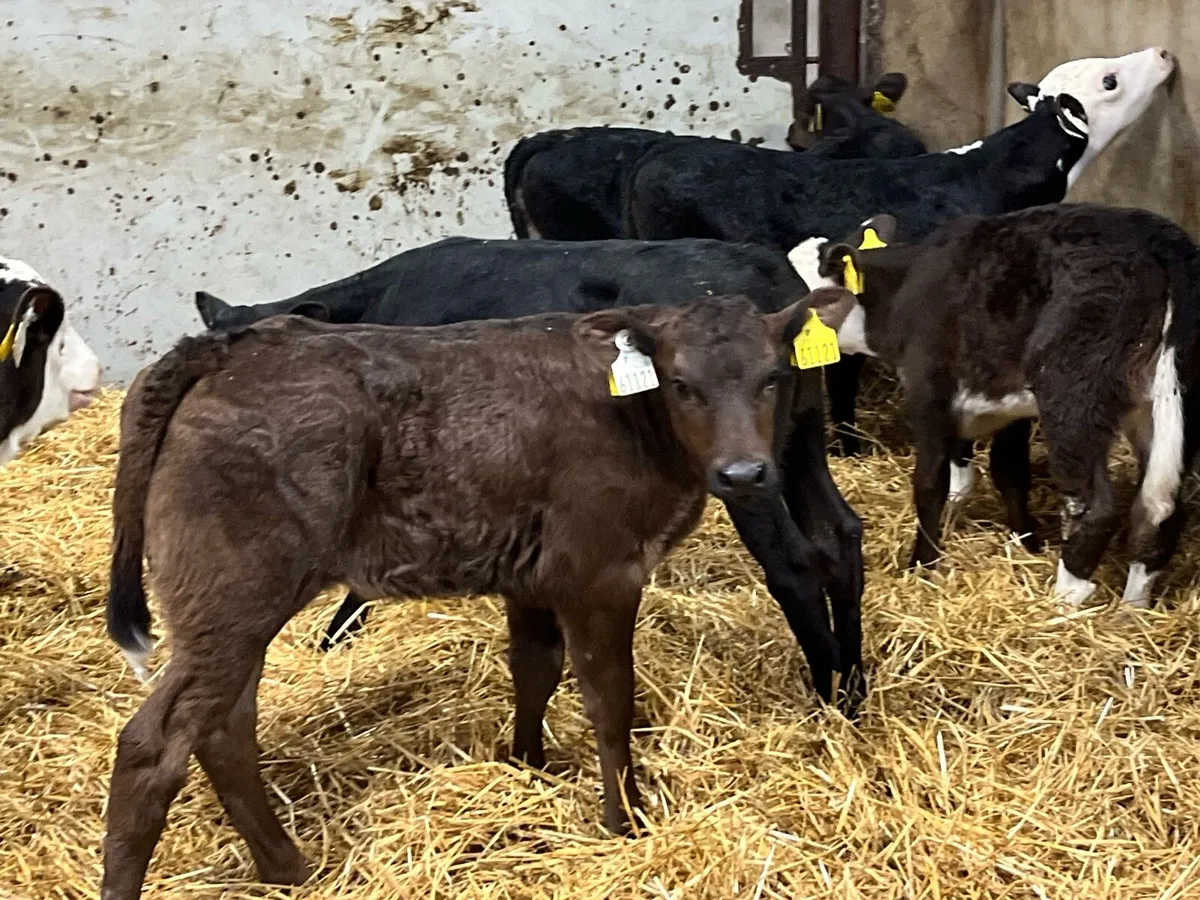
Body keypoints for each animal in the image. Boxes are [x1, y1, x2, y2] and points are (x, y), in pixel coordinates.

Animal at [101, 293, 857, 897]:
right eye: (679, 382)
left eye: (775, 376)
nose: (744, 473)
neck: (632, 419)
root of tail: (231, 346)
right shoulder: (600, 569)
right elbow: (609, 698)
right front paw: (625, 821)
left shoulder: (533, 573)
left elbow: (534, 668)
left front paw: (527, 768)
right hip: (233, 593)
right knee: (153, 746)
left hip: (229, 609)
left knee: (225, 730)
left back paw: (289, 869)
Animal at [194, 236, 866, 717]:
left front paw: (335, 635)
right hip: (801, 441)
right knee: (839, 534)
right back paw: (854, 686)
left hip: (751, 468)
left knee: (793, 561)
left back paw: (827, 694)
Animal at [802, 204, 1200, 610]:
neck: (904, 291)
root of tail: (1161, 240)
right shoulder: (1009, 406)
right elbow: (1007, 472)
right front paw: (1025, 541)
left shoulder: (928, 393)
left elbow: (929, 484)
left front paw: (922, 565)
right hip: (1167, 404)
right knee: (1159, 506)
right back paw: (1132, 608)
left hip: (1073, 397)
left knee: (1097, 506)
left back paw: (1064, 597)